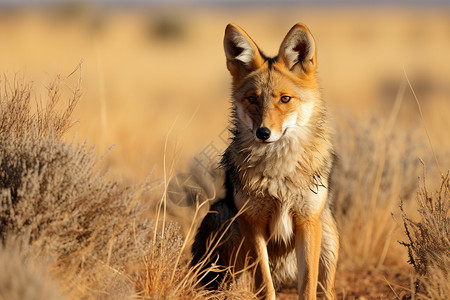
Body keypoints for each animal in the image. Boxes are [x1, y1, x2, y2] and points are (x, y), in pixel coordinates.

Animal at [192, 24, 340, 300]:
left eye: (285, 99)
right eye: (253, 99)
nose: (263, 133)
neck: (279, 174)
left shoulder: (307, 221)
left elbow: (308, 286)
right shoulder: (253, 222)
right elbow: (265, 285)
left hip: (327, 230)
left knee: (326, 289)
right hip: (224, 216)